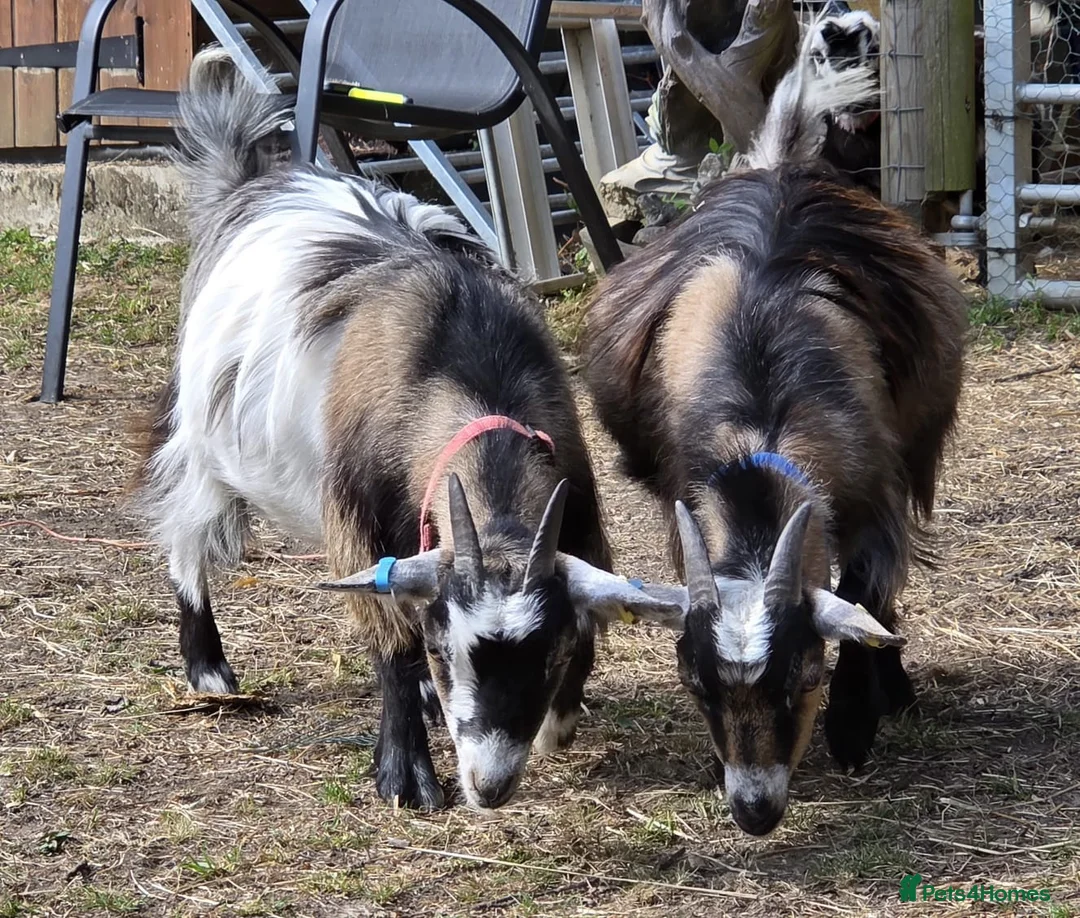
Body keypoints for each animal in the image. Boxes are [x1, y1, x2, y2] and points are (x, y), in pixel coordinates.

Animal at [136, 49, 676, 812]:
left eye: (548, 655)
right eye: (447, 647)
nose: (490, 784)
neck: (461, 362)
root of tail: (251, 183)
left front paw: (558, 720)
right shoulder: (355, 515)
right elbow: (389, 638)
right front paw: (406, 773)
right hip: (201, 439)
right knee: (185, 530)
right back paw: (207, 666)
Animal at [583, 23, 967, 835]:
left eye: (804, 675)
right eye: (696, 686)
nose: (754, 810)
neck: (762, 423)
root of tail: (778, 163)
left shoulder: (875, 500)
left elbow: (866, 595)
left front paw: (854, 725)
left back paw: (897, 690)